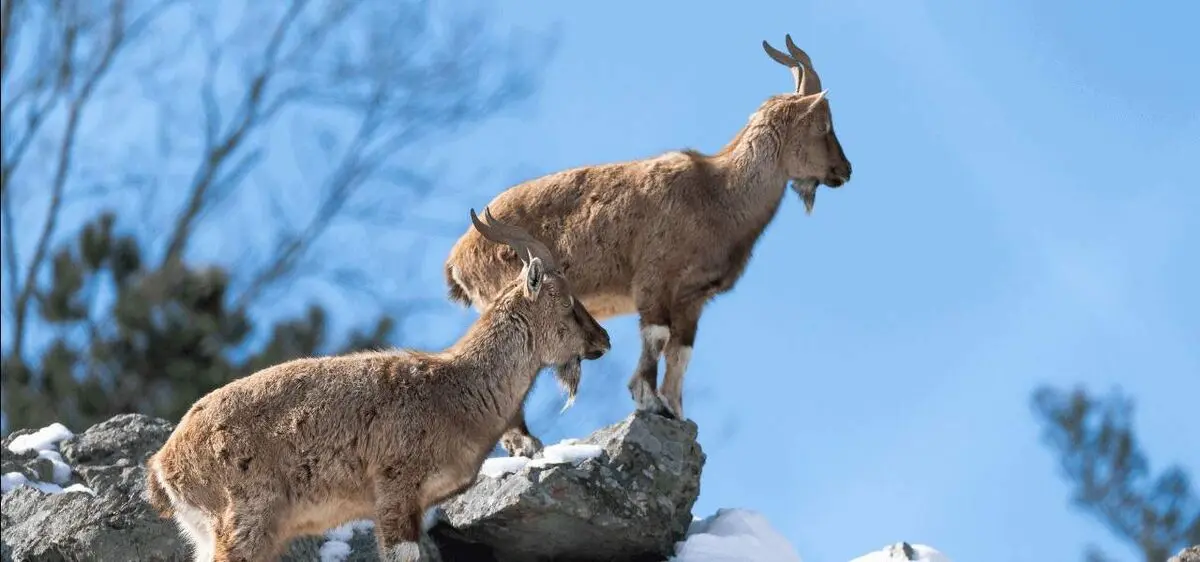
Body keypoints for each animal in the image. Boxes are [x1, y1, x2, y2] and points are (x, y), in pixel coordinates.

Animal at [145, 209, 611, 562]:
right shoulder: (395, 492)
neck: (455, 389)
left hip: (209, 534)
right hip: (245, 520)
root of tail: (165, 464)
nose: (603, 339)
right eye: (568, 303)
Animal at [443, 34, 852, 453]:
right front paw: (648, 400)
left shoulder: (693, 297)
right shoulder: (655, 279)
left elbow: (681, 351)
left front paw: (676, 411)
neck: (719, 193)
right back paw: (526, 443)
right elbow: (657, 336)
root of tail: (456, 260)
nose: (844, 170)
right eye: (824, 123)